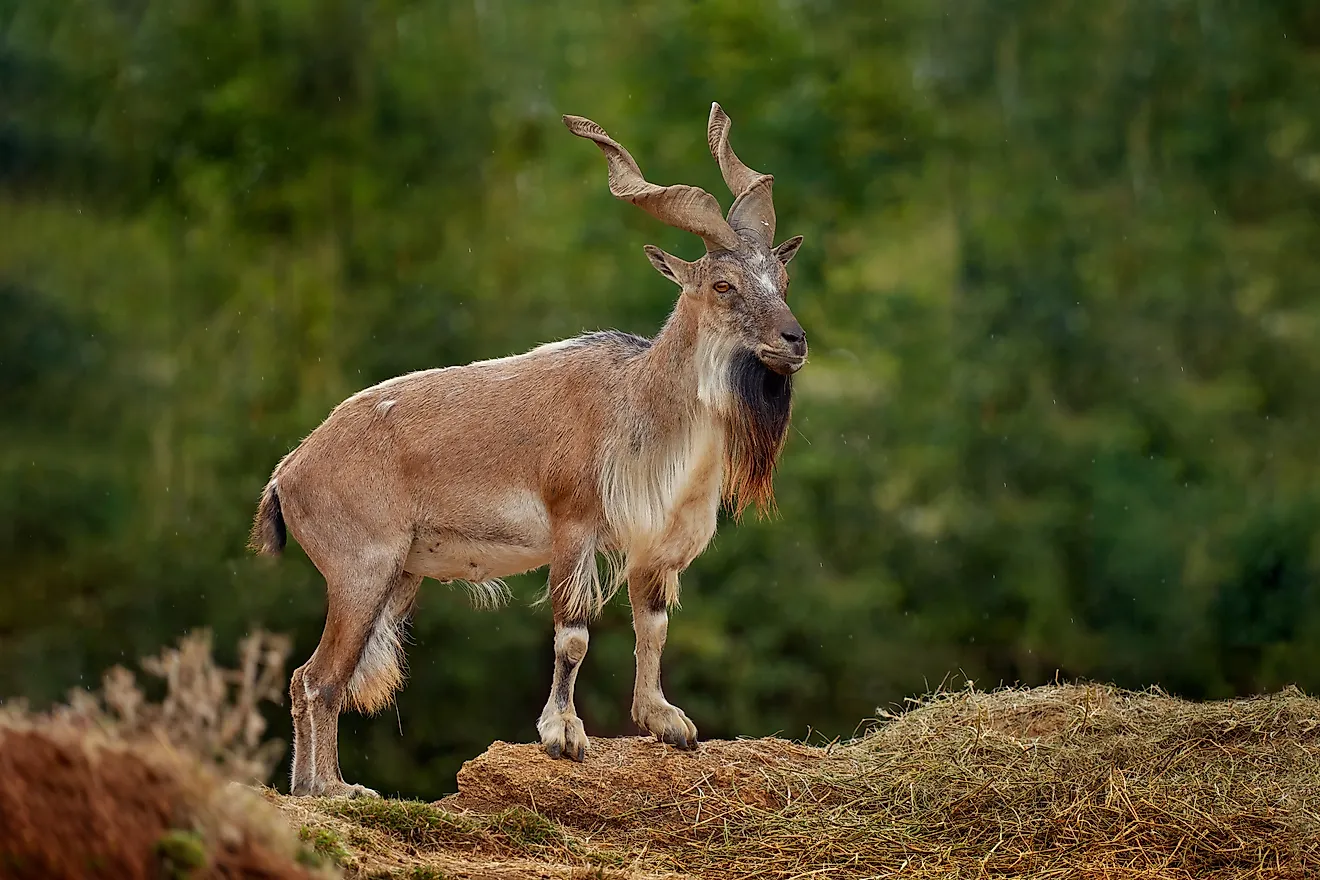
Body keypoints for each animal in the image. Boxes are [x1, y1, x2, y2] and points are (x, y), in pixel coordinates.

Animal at [249, 103, 808, 797]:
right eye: (725, 285)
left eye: (781, 277)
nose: (795, 340)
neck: (639, 407)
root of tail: (287, 473)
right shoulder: (574, 529)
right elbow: (572, 635)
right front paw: (562, 734)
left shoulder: (655, 547)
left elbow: (652, 627)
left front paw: (666, 722)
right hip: (359, 571)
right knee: (317, 679)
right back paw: (329, 789)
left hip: (397, 577)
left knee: (317, 679)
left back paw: (320, 787)